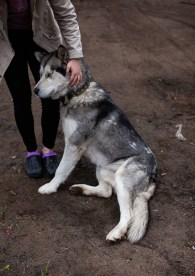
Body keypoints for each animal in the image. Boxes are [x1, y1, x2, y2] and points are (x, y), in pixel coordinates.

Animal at [34, 45, 158, 244]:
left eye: (49, 74)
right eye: (39, 74)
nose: (35, 91)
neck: (77, 94)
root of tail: (153, 175)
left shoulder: (74, 145)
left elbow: (61, 170)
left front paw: (50, 187)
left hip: (123, 177)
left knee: (128, 214)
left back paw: (116, 233)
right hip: (102, 168)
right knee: (106, 191)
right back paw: (80, 189)